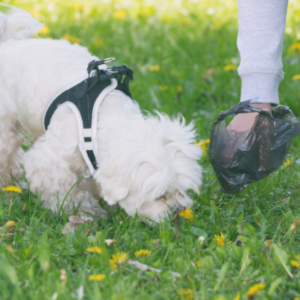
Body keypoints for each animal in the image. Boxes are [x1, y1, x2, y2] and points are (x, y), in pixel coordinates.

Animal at [0, 7, 203, 223]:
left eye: (182, 190)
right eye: (160, 196)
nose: (180, 210)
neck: (100, 119)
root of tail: (7, 43)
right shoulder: (49, 162)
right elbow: (67, 192)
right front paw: (83, 212)